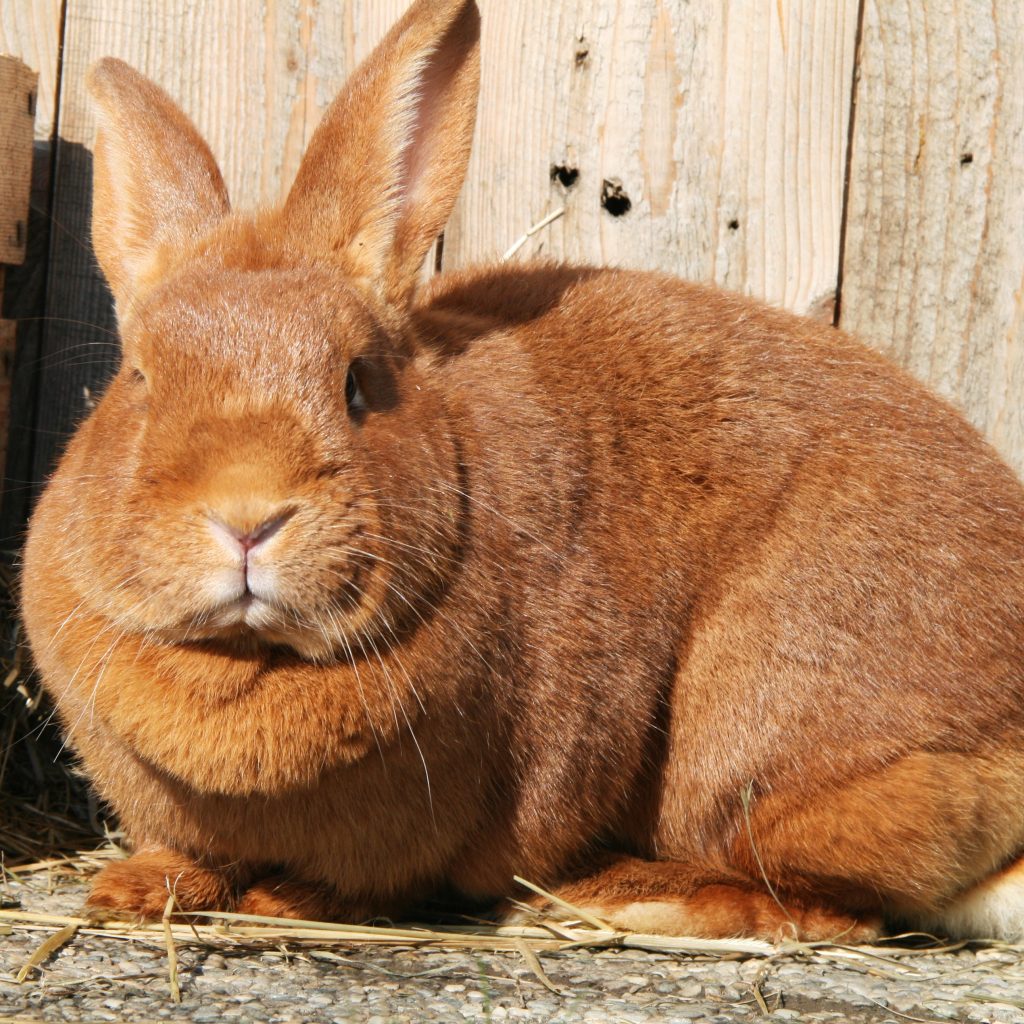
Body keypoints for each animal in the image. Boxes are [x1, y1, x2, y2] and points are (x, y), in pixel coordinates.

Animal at [20, 0, 1024, 942]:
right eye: (140, 379)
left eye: (358, 384)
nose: (246, 517)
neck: (248, 660)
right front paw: (130, 890)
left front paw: (277, 898)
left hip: (758, 733)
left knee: (825, 897)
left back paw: (626, 899)